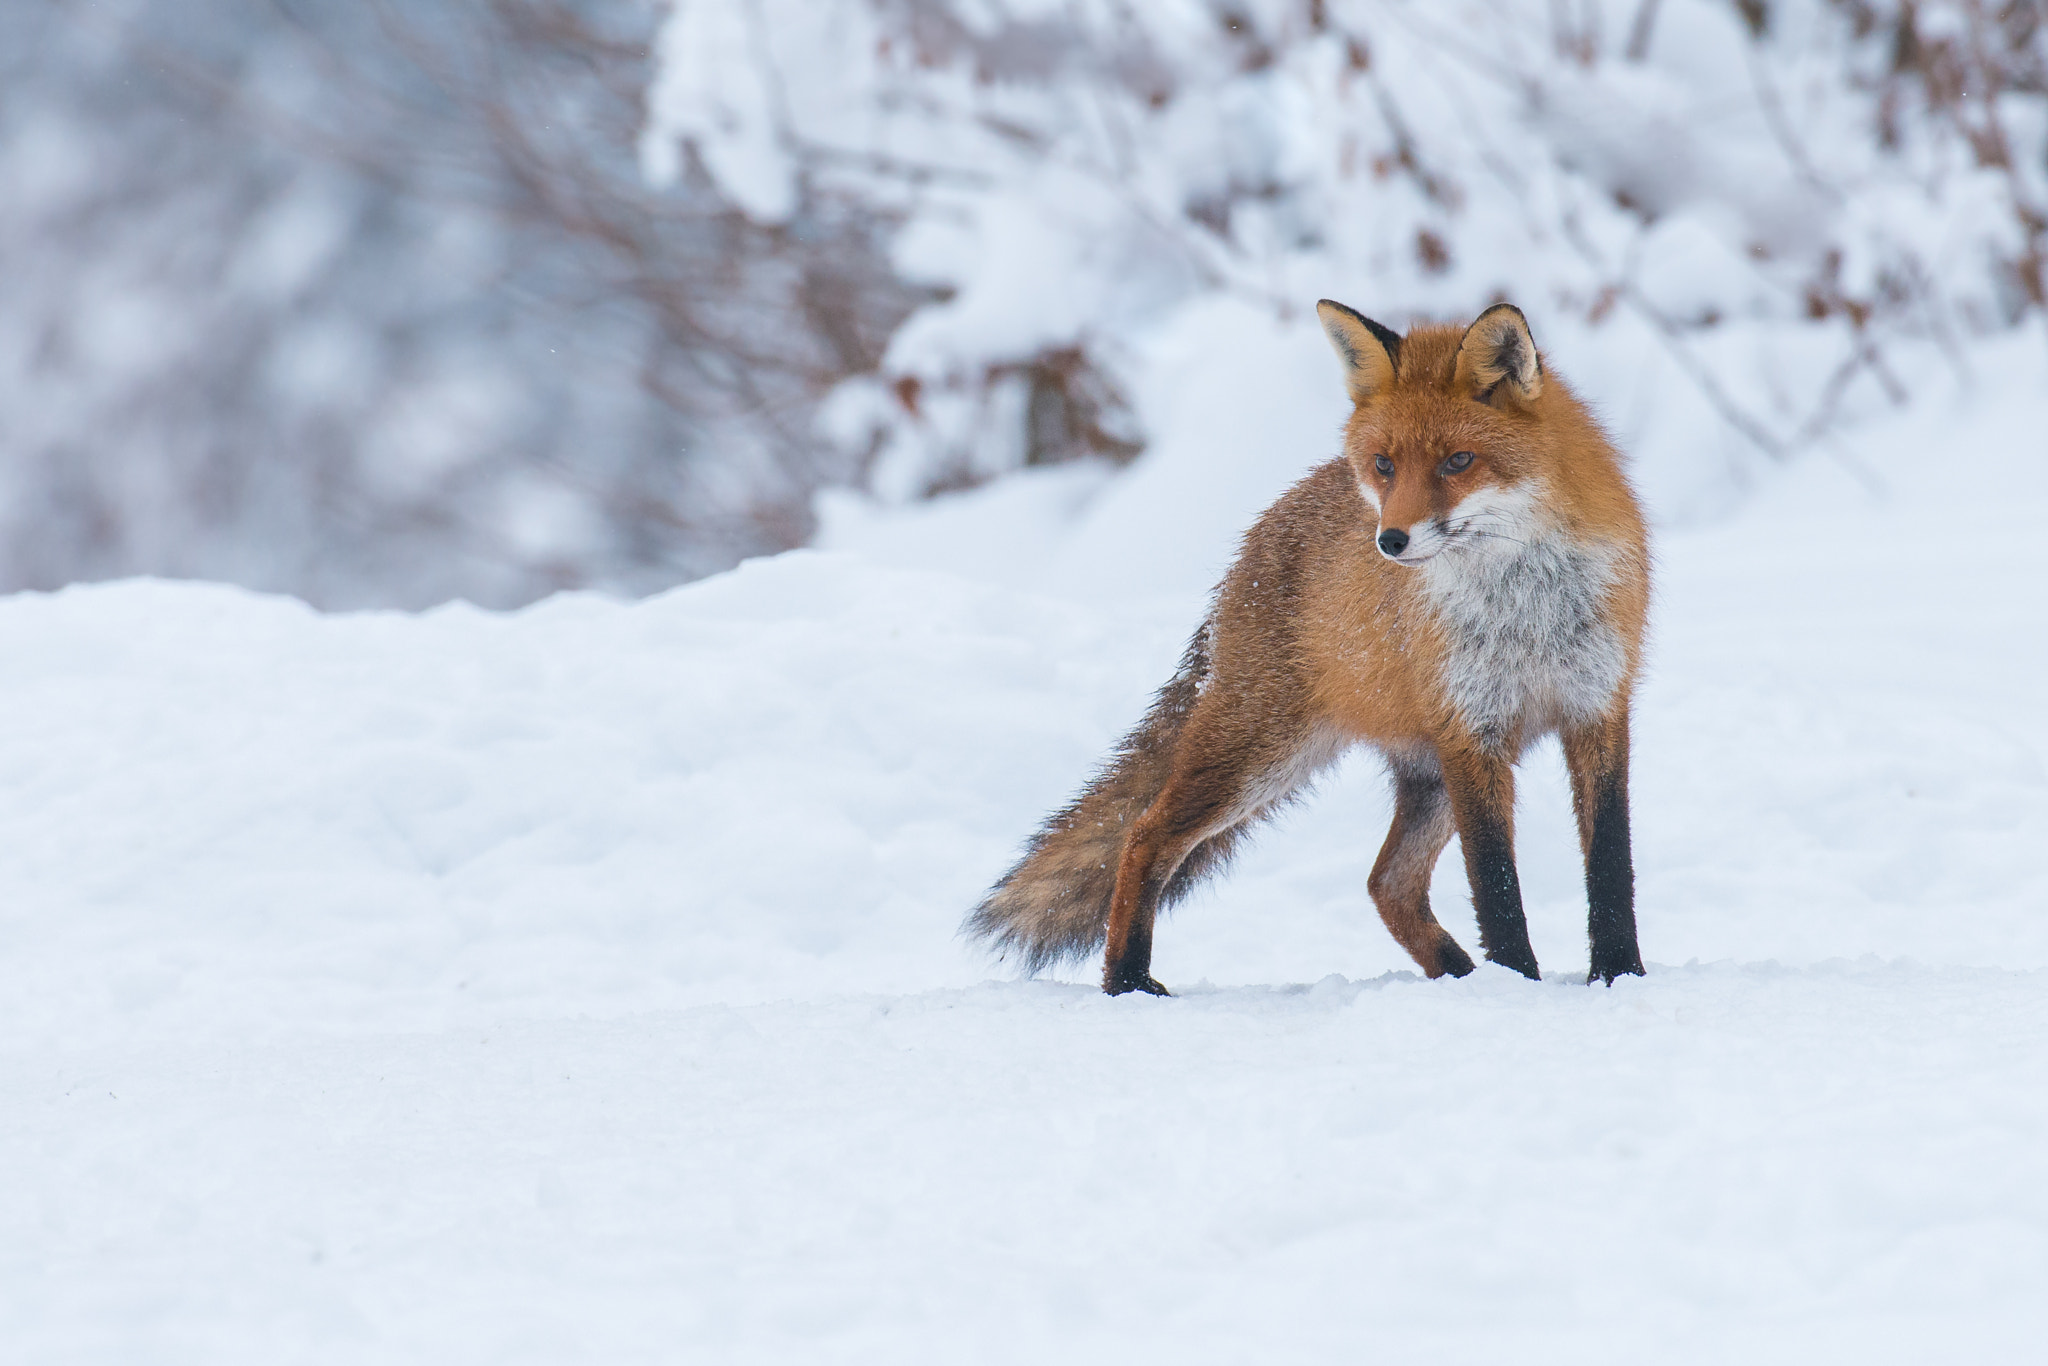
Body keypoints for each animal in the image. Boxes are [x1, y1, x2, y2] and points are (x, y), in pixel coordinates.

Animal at [966, 301, 1654, 995]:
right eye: (1384, 465)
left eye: (1458, 461)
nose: (1391, 541)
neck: (1526, 608)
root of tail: (1254, 543)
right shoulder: (1472, 732)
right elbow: (1496, 885)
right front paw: (1516, 983)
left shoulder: (1597, 708)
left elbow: (1609, 867)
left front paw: (1619, 975)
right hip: (1264, 754)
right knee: (1143, 836)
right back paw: (1127, 980)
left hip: (1419, 774)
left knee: (1388, 884)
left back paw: (1457, 975)